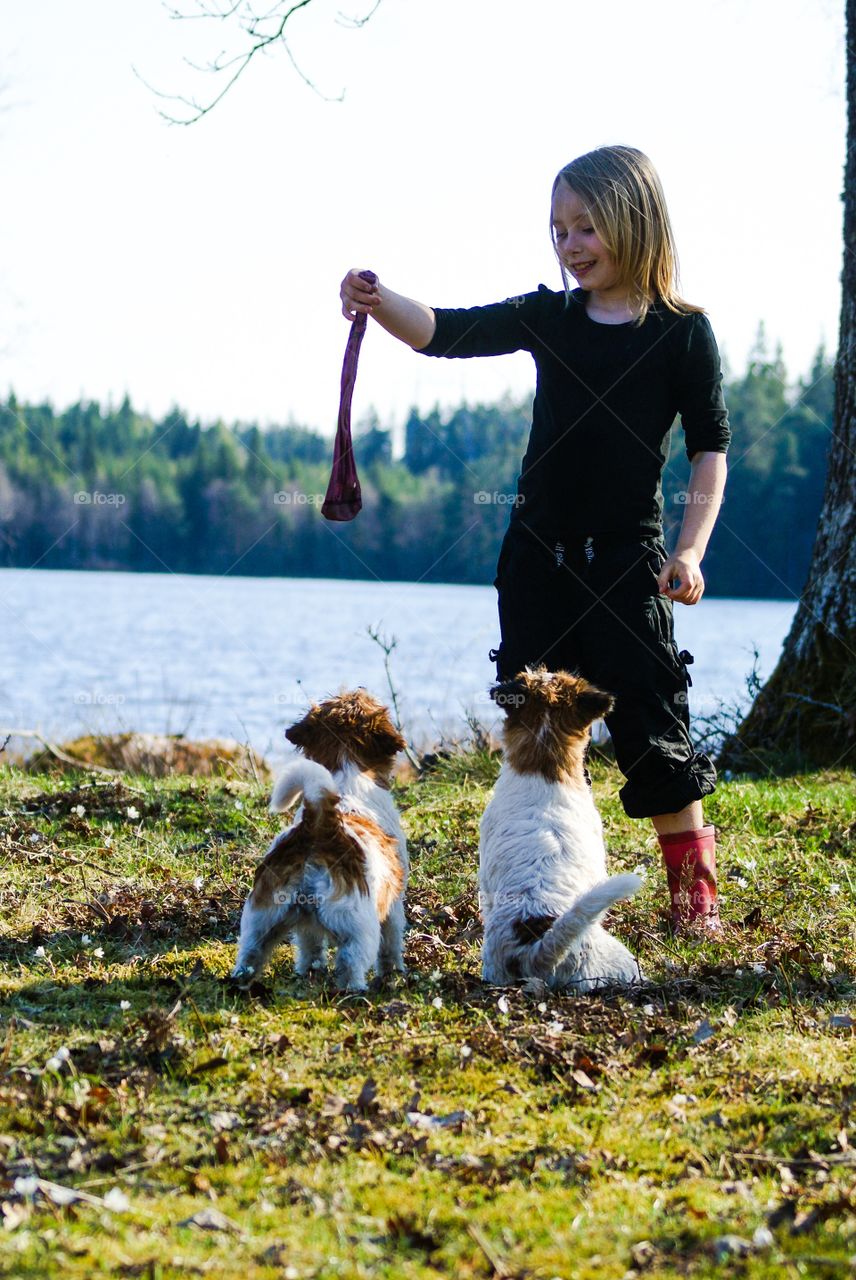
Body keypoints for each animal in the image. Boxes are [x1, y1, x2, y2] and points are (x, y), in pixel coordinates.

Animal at [231, 696, 409, 993]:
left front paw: (309, 971)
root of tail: (318, 824)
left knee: (251, 952)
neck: (347, 778)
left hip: (262, 919)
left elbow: (310, 946)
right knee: (351, 960)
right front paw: (394, 972)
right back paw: (355, 990)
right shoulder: (394, 902)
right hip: (358, 926)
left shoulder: (306, 927)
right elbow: (391, 943)